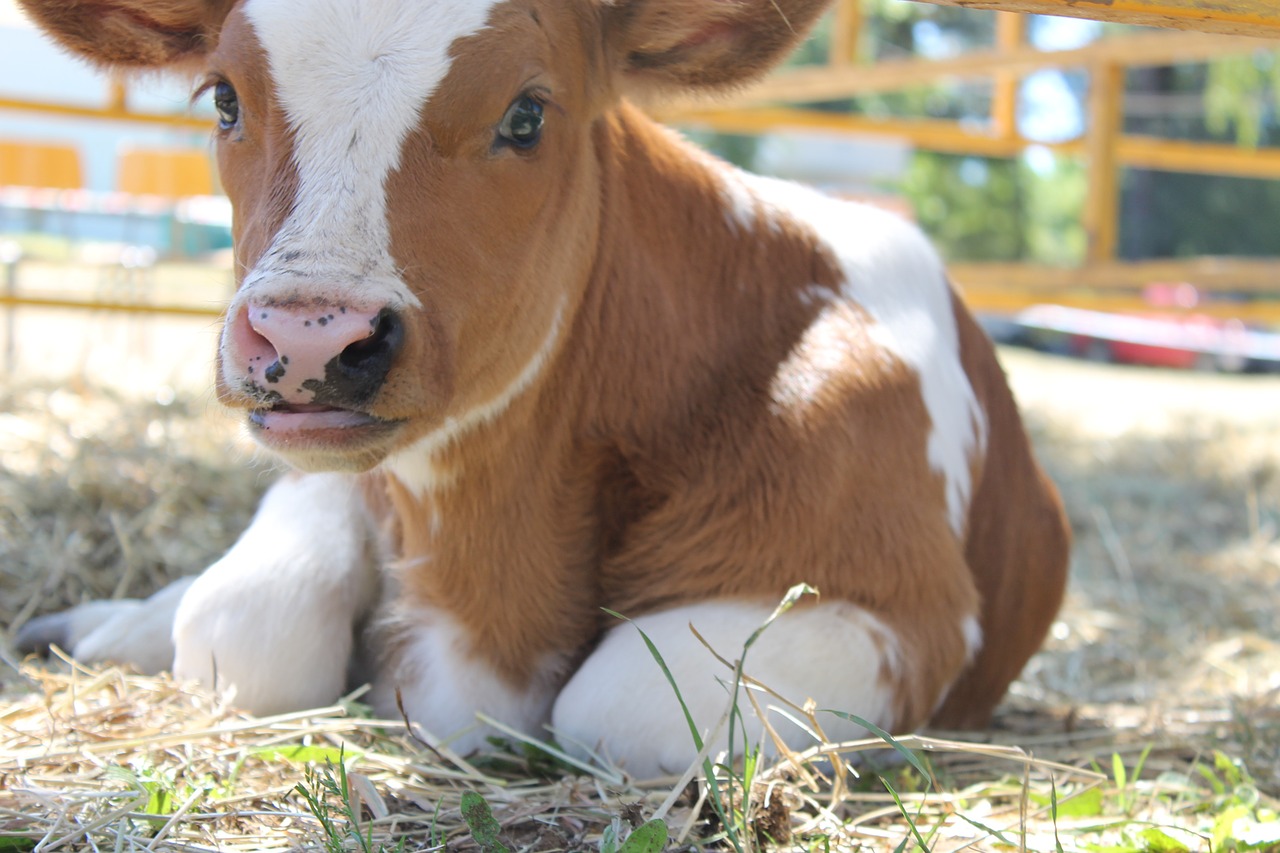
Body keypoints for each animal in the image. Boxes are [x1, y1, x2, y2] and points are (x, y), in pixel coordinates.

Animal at [17, 0, 1070, 778]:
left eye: (526, 114)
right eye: (225, 99)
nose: (308, 335)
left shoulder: (901, 601)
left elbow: (620, 705)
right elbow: (246, 626)